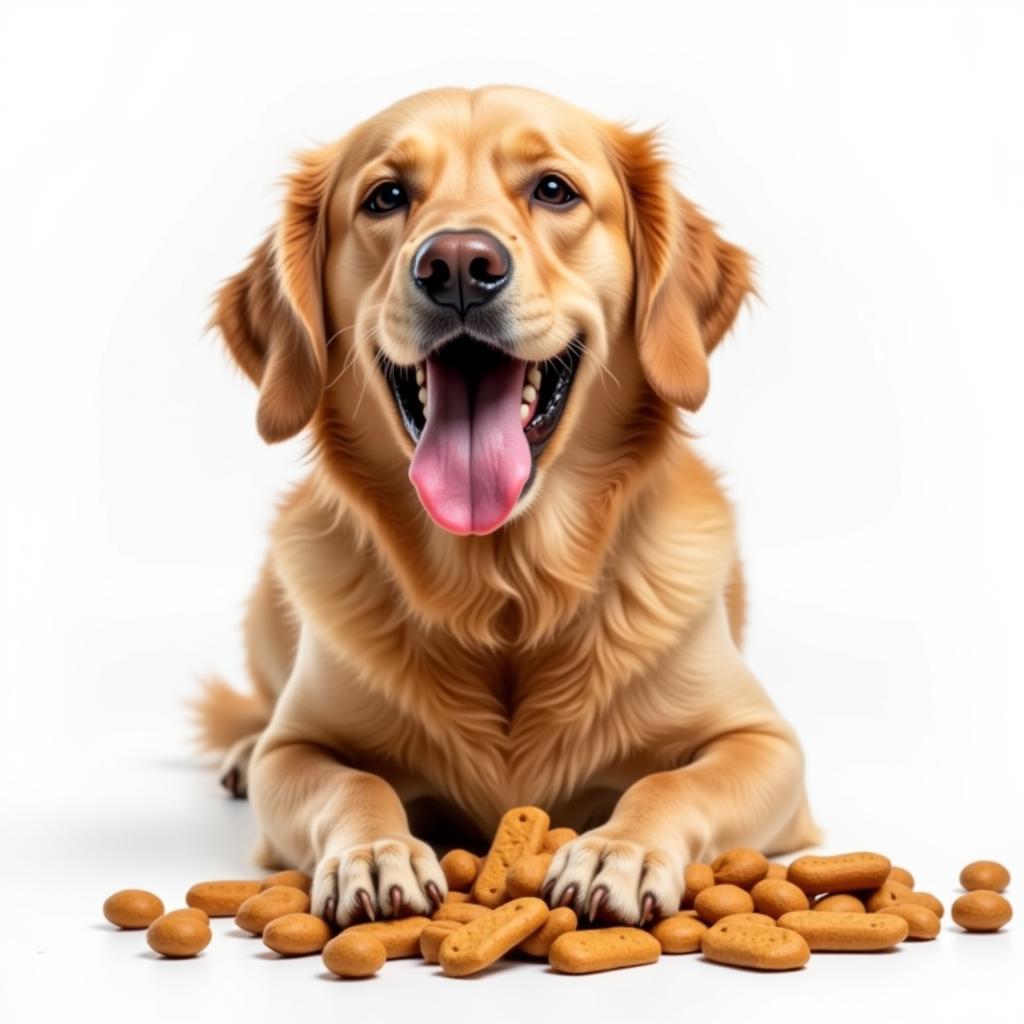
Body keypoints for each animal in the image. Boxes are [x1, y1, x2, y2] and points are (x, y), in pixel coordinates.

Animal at [195, 81, 819, 929]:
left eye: (553, 190)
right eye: (386, 197)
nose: (459, 264)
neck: (506, 588)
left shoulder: (765, 743)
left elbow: (670, 780)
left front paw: (618, 850)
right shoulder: (297, 749)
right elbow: (351, 780)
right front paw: (375, 852)